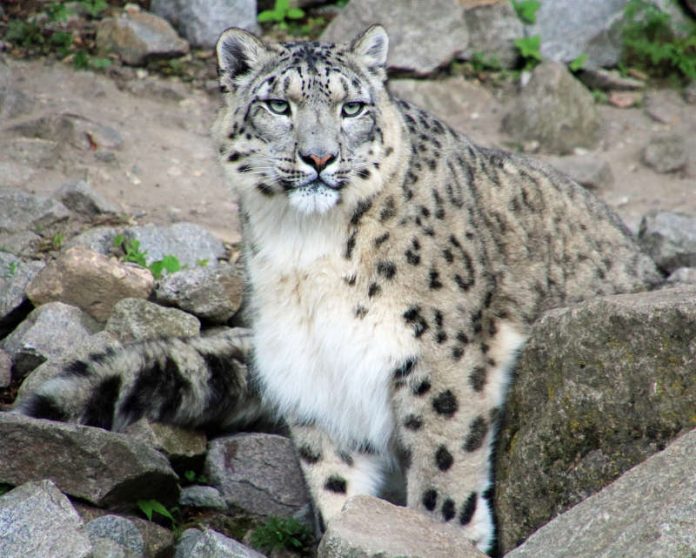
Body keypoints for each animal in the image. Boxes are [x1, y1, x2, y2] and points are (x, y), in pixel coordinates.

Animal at [13, 24, 660, 552]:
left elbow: (444, 466)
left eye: (352, 107)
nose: (319, 158)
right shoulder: (316, 370)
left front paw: (435, 535)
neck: (307, 249)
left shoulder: (442, 356)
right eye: (278, 104)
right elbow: (337, 485)